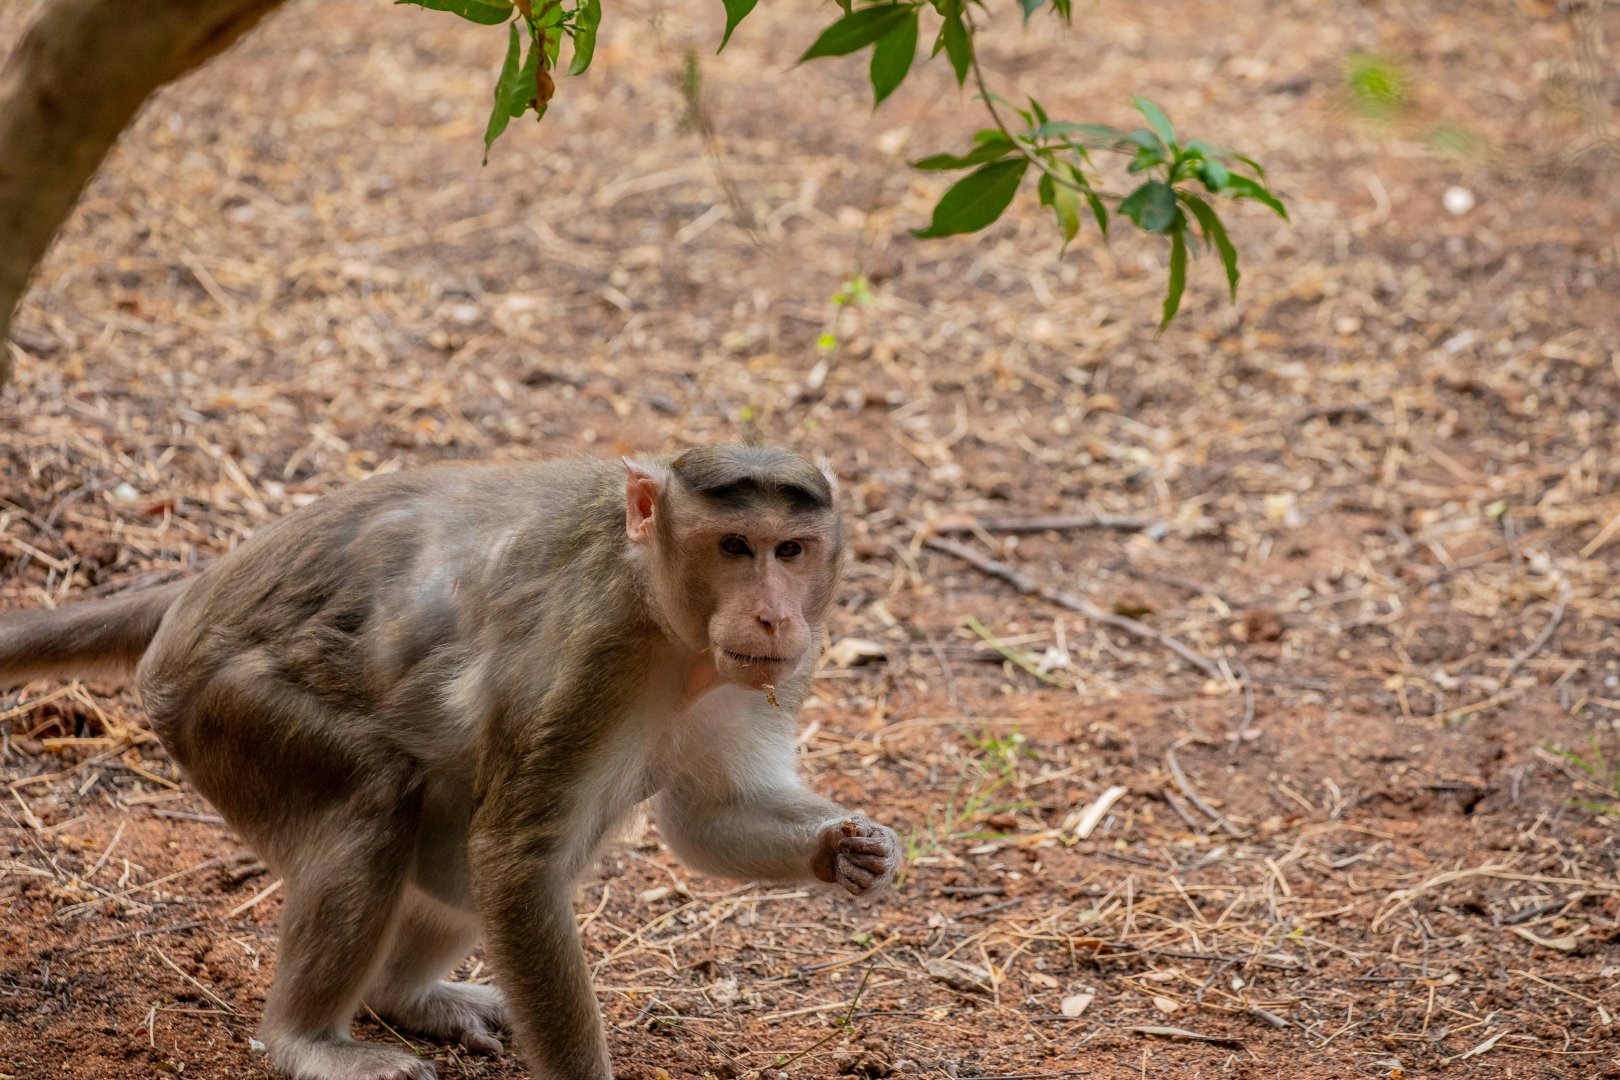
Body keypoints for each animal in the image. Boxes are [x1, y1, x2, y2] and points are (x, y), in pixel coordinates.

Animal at [0, 444, 901, 1080]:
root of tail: (199, 591)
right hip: (218, 706)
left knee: (454, 852)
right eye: (736, 546)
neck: (667, 620)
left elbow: (705, 815)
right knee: (380, 799)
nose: (773, 615)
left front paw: (847, 849)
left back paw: (405, 997)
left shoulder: (776, 667)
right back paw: (303, 1040)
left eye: (791, 550)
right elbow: (515, 858)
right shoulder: (595, 653)